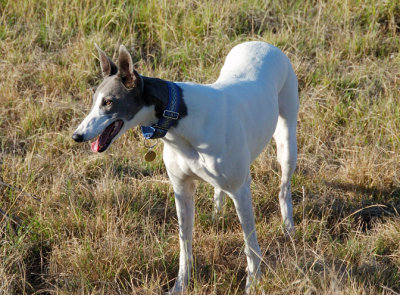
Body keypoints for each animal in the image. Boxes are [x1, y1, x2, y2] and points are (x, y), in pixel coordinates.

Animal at [72, 41, 298, 294]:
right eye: (95, 101)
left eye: (109, 102)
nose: (77, 136)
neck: (178, 116)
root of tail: (262, 43)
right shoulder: (181, 190)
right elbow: (184, 244)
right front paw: (181, 285)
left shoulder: (241, 190)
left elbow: (250, 244)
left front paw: (253, 283)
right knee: (219, 189)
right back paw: (217, 214)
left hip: (286, 144)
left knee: (283, 188)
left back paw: (288, 226)